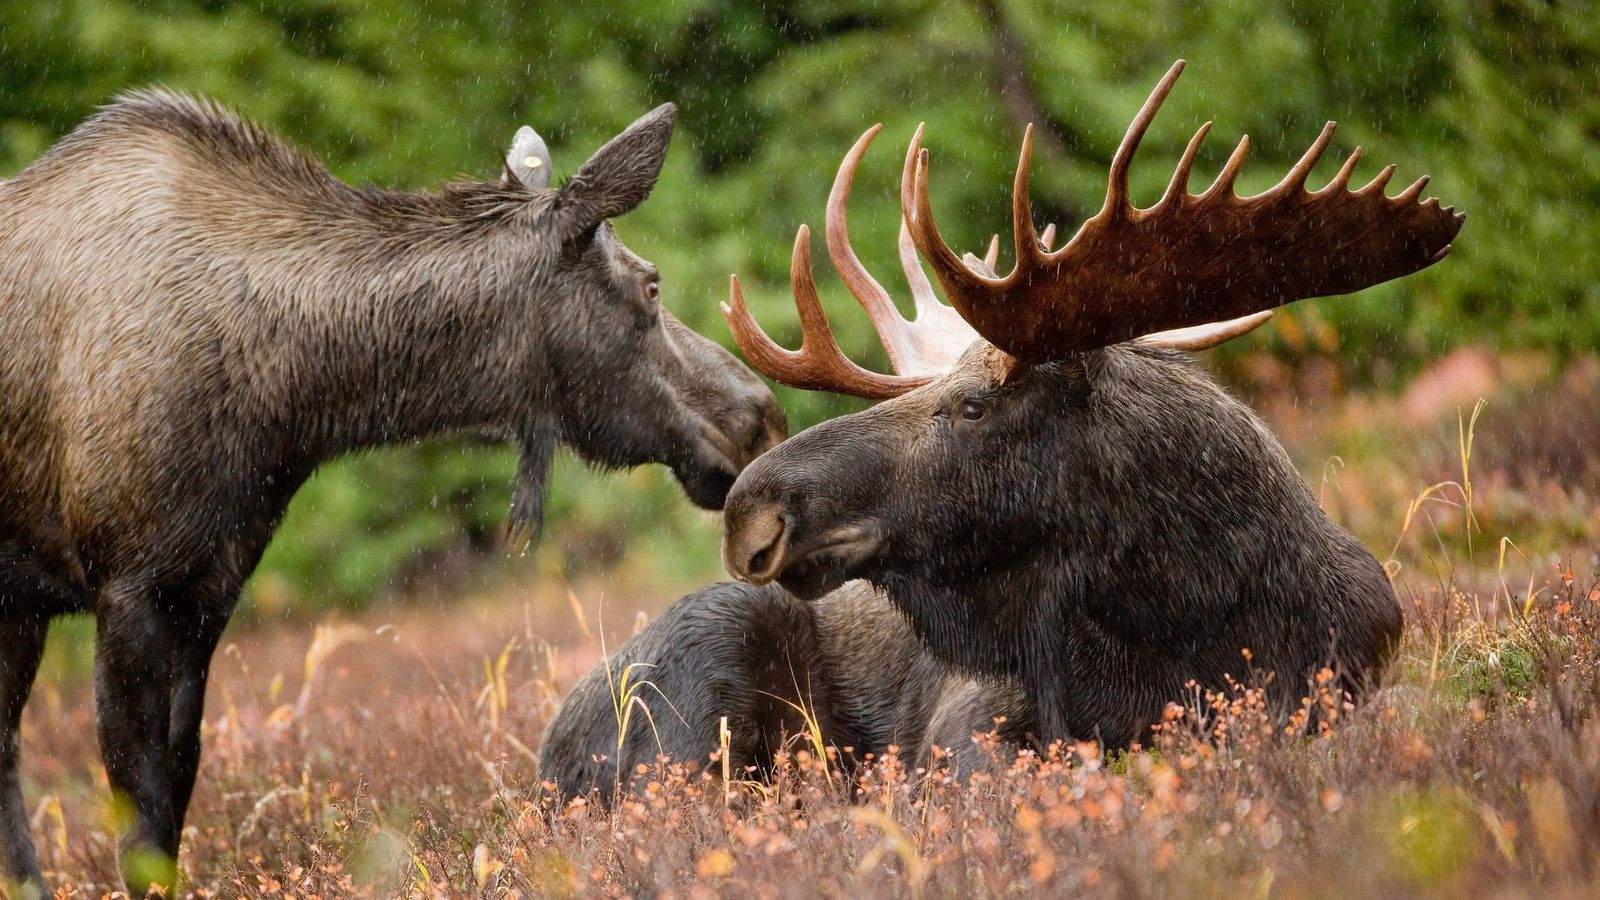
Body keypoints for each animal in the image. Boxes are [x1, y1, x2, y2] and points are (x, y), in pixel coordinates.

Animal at [0, 93, 786, 894]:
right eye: (650, 284)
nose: (761, 414)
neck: (288, 402)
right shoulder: (127, 585)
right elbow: (140, 815)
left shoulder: (208, 589)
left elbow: (177, 789)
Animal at [538, 60, 1463, 802]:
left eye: (975, 405)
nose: (750, 510)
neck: (1190, 619)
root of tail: (542, 761)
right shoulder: (973, 724)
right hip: (703, 669)